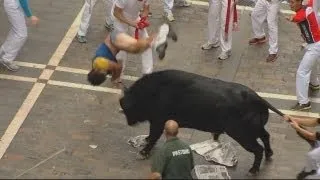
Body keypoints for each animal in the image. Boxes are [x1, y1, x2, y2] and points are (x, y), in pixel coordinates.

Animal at [119, 69, 284, 174]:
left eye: (127, 109)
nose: (129, 123)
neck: (153, 91)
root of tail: (257, 98)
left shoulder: (158, 121)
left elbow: (153, 136)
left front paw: (143, 152)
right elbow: (151, 135)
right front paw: (145, 141)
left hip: (242, 134)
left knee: (258, 149)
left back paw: (253, 170)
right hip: (255, 129)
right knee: (266, 136)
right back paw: (269, 154)